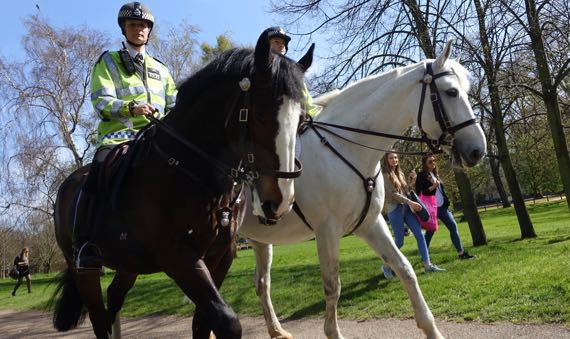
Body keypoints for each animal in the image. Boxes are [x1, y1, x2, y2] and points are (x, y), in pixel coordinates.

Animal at [50, 30, 312, 338]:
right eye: (260, 114)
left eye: (301, 120)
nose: (280, 202)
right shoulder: (178, 257)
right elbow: (226, 321)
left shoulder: (221, 255)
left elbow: (203, 323)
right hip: (84, 270)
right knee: (99, 317)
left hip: (128, 264)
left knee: (114, 298)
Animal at [239, 40, 484, 339]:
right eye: (451, 92)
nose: (478, 149)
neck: (345, 147)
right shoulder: (327, 231)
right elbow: (333, 286)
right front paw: (332, 332)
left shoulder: (370, 224)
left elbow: (404, 269)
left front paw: (431, 329)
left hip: (260, 241)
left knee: (261, 284)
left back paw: (276, 330)